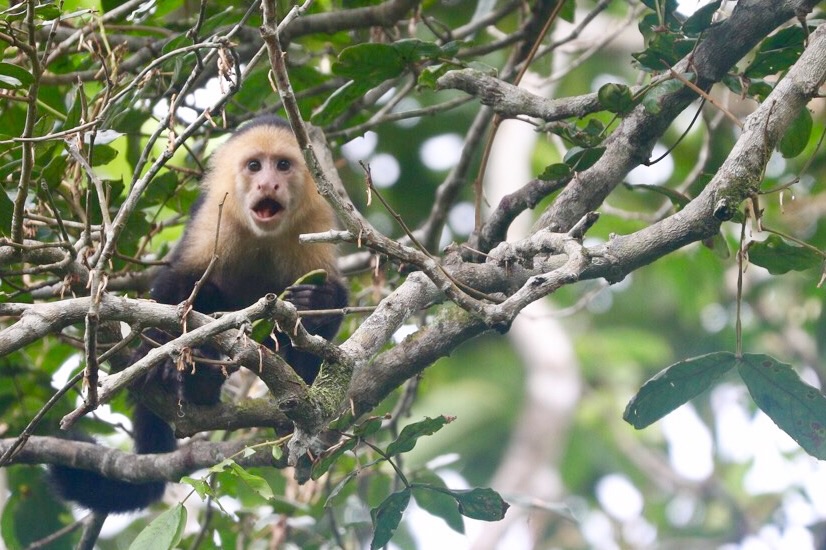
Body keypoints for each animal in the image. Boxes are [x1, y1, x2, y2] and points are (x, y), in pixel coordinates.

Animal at [49, 117, 344, 516]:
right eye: (255, 166)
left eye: (283, 165)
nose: (268, 184)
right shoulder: (212, 216)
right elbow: (180, 284)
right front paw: (157, 351)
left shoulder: (317, 219)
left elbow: (332, 304)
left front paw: (318, 300)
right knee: (205, 292)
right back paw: (192, 380)